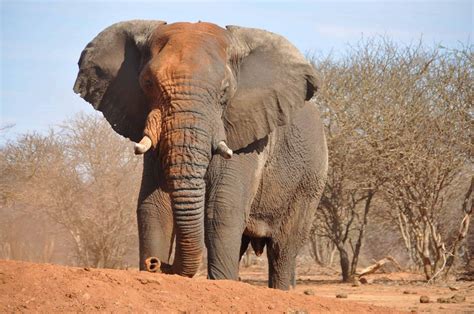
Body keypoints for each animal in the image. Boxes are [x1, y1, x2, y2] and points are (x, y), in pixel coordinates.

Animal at [73, 19, 326, 290]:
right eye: (148, 83)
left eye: (225, 90)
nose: (156, 263)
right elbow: (153, 206)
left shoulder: (248, 132)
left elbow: (222, 209)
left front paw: (222, 284)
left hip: (310, 180)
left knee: (283, 248)